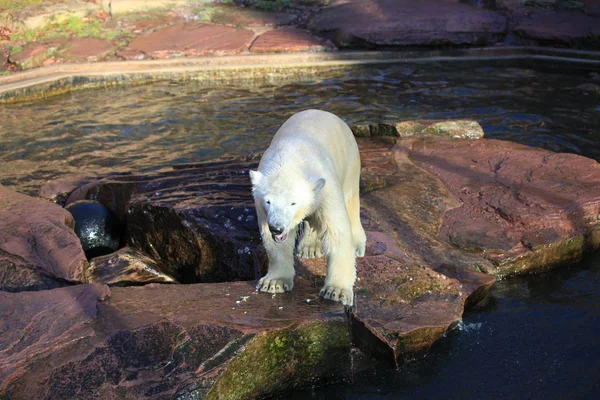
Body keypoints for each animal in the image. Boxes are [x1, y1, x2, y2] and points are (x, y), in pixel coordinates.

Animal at [248, 109, 366, 306]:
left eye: (293, 202)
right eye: (268, 201)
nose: (277, 227)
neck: (289, 160)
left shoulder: (325, 187)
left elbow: (336, 232)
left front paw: (336, 291)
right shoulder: (262, 208)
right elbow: (273, 241)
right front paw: (274, 283)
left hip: (350, 163)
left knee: (351, 201)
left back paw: (357, 245)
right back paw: (309, 248)